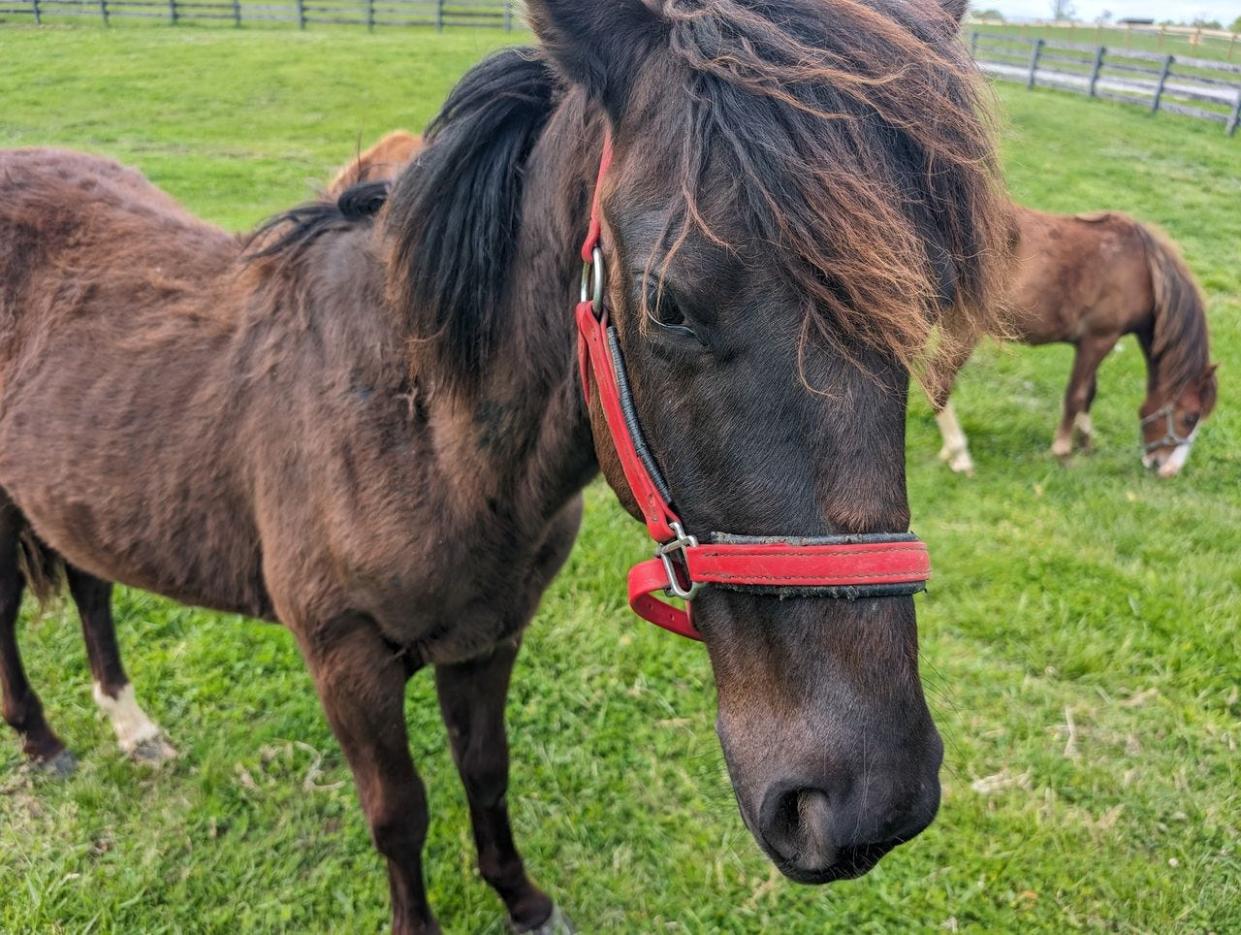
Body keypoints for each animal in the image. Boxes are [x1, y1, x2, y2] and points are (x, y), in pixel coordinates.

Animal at [0, 1, 1007, 928]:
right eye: (668, 304)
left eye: (924, 298)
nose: (865, 802)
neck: (420, 431)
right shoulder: (345, 659)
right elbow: (398, 814)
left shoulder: (489, 636)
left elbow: (486, 770)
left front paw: (521, 896)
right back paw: (45, 740)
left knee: (89, 588)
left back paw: (132, 728)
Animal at [928, 207, 1216, 476]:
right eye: (1190, 417)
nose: (1167, 469)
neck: (1143, 272)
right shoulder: (1099, 339)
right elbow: (1075, 396)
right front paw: (1062, 449)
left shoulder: (1094, 342)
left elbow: (1089, 392)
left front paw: (1085, 441)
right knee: (939, 381)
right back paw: (959, 454)